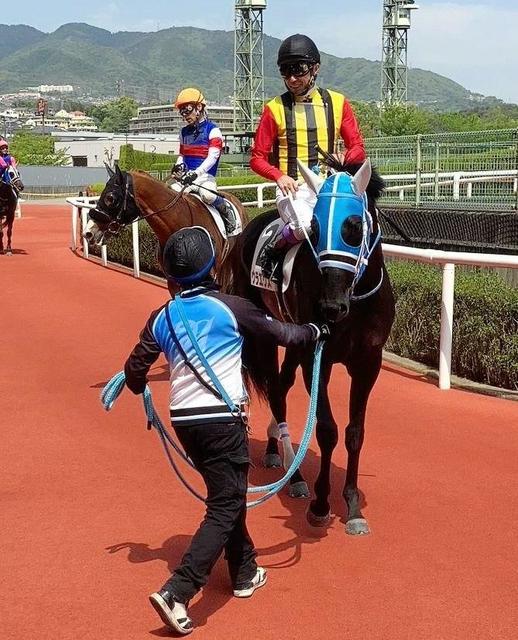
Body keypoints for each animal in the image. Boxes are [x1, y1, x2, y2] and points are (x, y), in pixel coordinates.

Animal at [230, 155, 396, 536]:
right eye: (315, 229)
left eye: (353, 227)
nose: (330, 307)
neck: (355, 303)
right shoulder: (315, 357)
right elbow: (326, 429)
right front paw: (320, 504)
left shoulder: (368, 362)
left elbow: (354, 433)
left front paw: (352, 506)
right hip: (266, 331)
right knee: (276, 391)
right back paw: (294, 476)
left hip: (293, 337)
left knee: (281, 384)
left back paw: (276, 449)